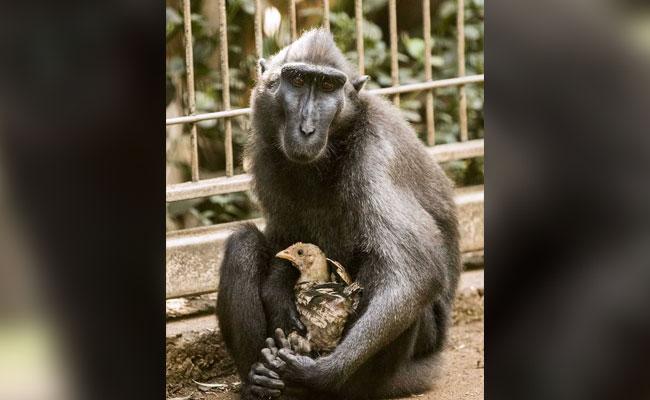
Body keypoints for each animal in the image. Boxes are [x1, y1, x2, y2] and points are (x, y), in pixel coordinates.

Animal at [215, 28, 458, 400]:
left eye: (329, 86)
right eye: (298, 80)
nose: (307, 129)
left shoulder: (375, 152)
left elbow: (417, 271)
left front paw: (320, 372)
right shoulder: (266, 153)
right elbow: (285, 237)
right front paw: (277, 291)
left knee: (380, 265)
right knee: (242, 245)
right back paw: (261, 381)